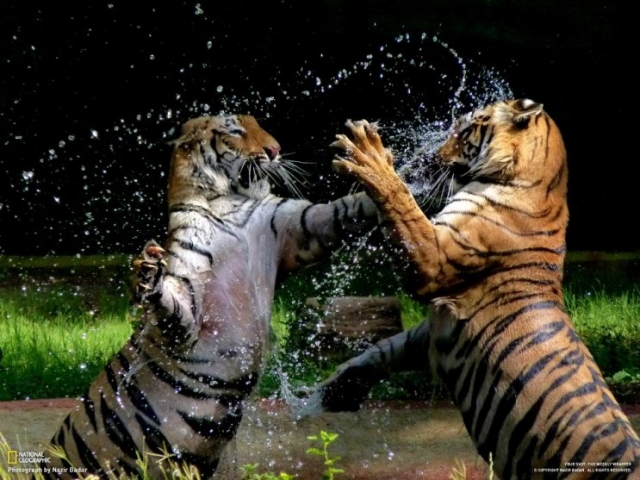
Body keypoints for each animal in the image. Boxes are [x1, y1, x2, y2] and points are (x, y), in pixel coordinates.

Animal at [46, 113, 380, 480]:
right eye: (235, 130)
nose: (275, 150)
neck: (233, 202)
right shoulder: (188, 307)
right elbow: (173, 307)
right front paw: (146, 274)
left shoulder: (300, 228)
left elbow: (344, 208)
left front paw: (389, 170)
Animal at [300, 99, 640, 478]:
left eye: (465, 130)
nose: (431, 156)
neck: (535, 181)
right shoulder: (434, 327)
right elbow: (383, 349)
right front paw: (334, 392)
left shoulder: (432, 264)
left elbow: (402, 204)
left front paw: (368, 156)